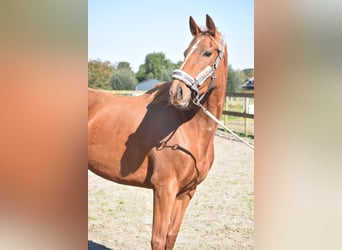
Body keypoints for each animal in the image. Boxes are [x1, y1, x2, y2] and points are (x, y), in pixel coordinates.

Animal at [88, 14, 227, 249]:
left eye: (207, 52)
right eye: (185, 52)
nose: (177, 92)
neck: (188, 128)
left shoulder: (186, 193)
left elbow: (171, 236)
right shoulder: (164, 189)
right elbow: (158, 239)